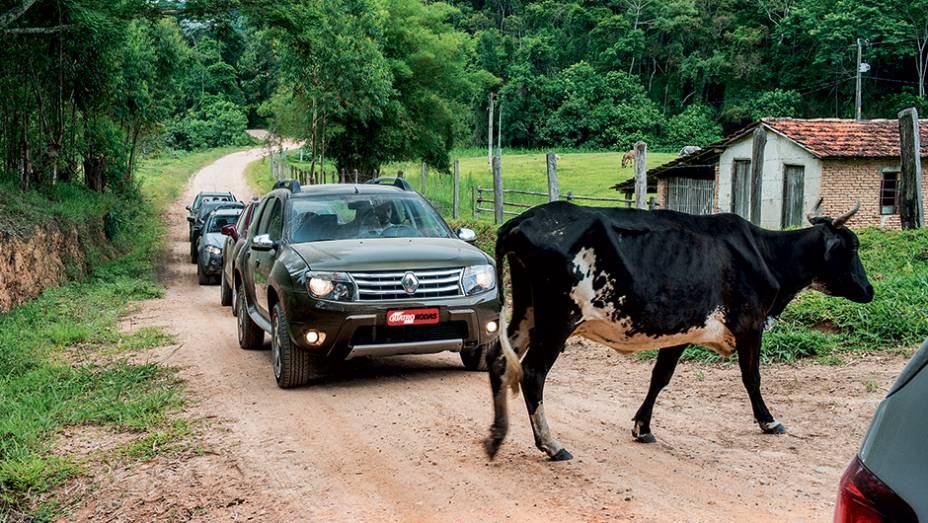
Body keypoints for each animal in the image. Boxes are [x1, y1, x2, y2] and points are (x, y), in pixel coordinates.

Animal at [490, 201, 872, 462]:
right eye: (852, 248)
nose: (869, 290)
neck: (765, 255)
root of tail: (520, 221)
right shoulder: (749, 324)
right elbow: (752, 377)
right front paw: (769, 421)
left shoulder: (682, 331)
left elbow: (660, 377)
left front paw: (642, 427)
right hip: (558, 321)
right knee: (533, 372)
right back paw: (551, 445)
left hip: (527, 312)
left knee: (499, 360)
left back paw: (496, 433)